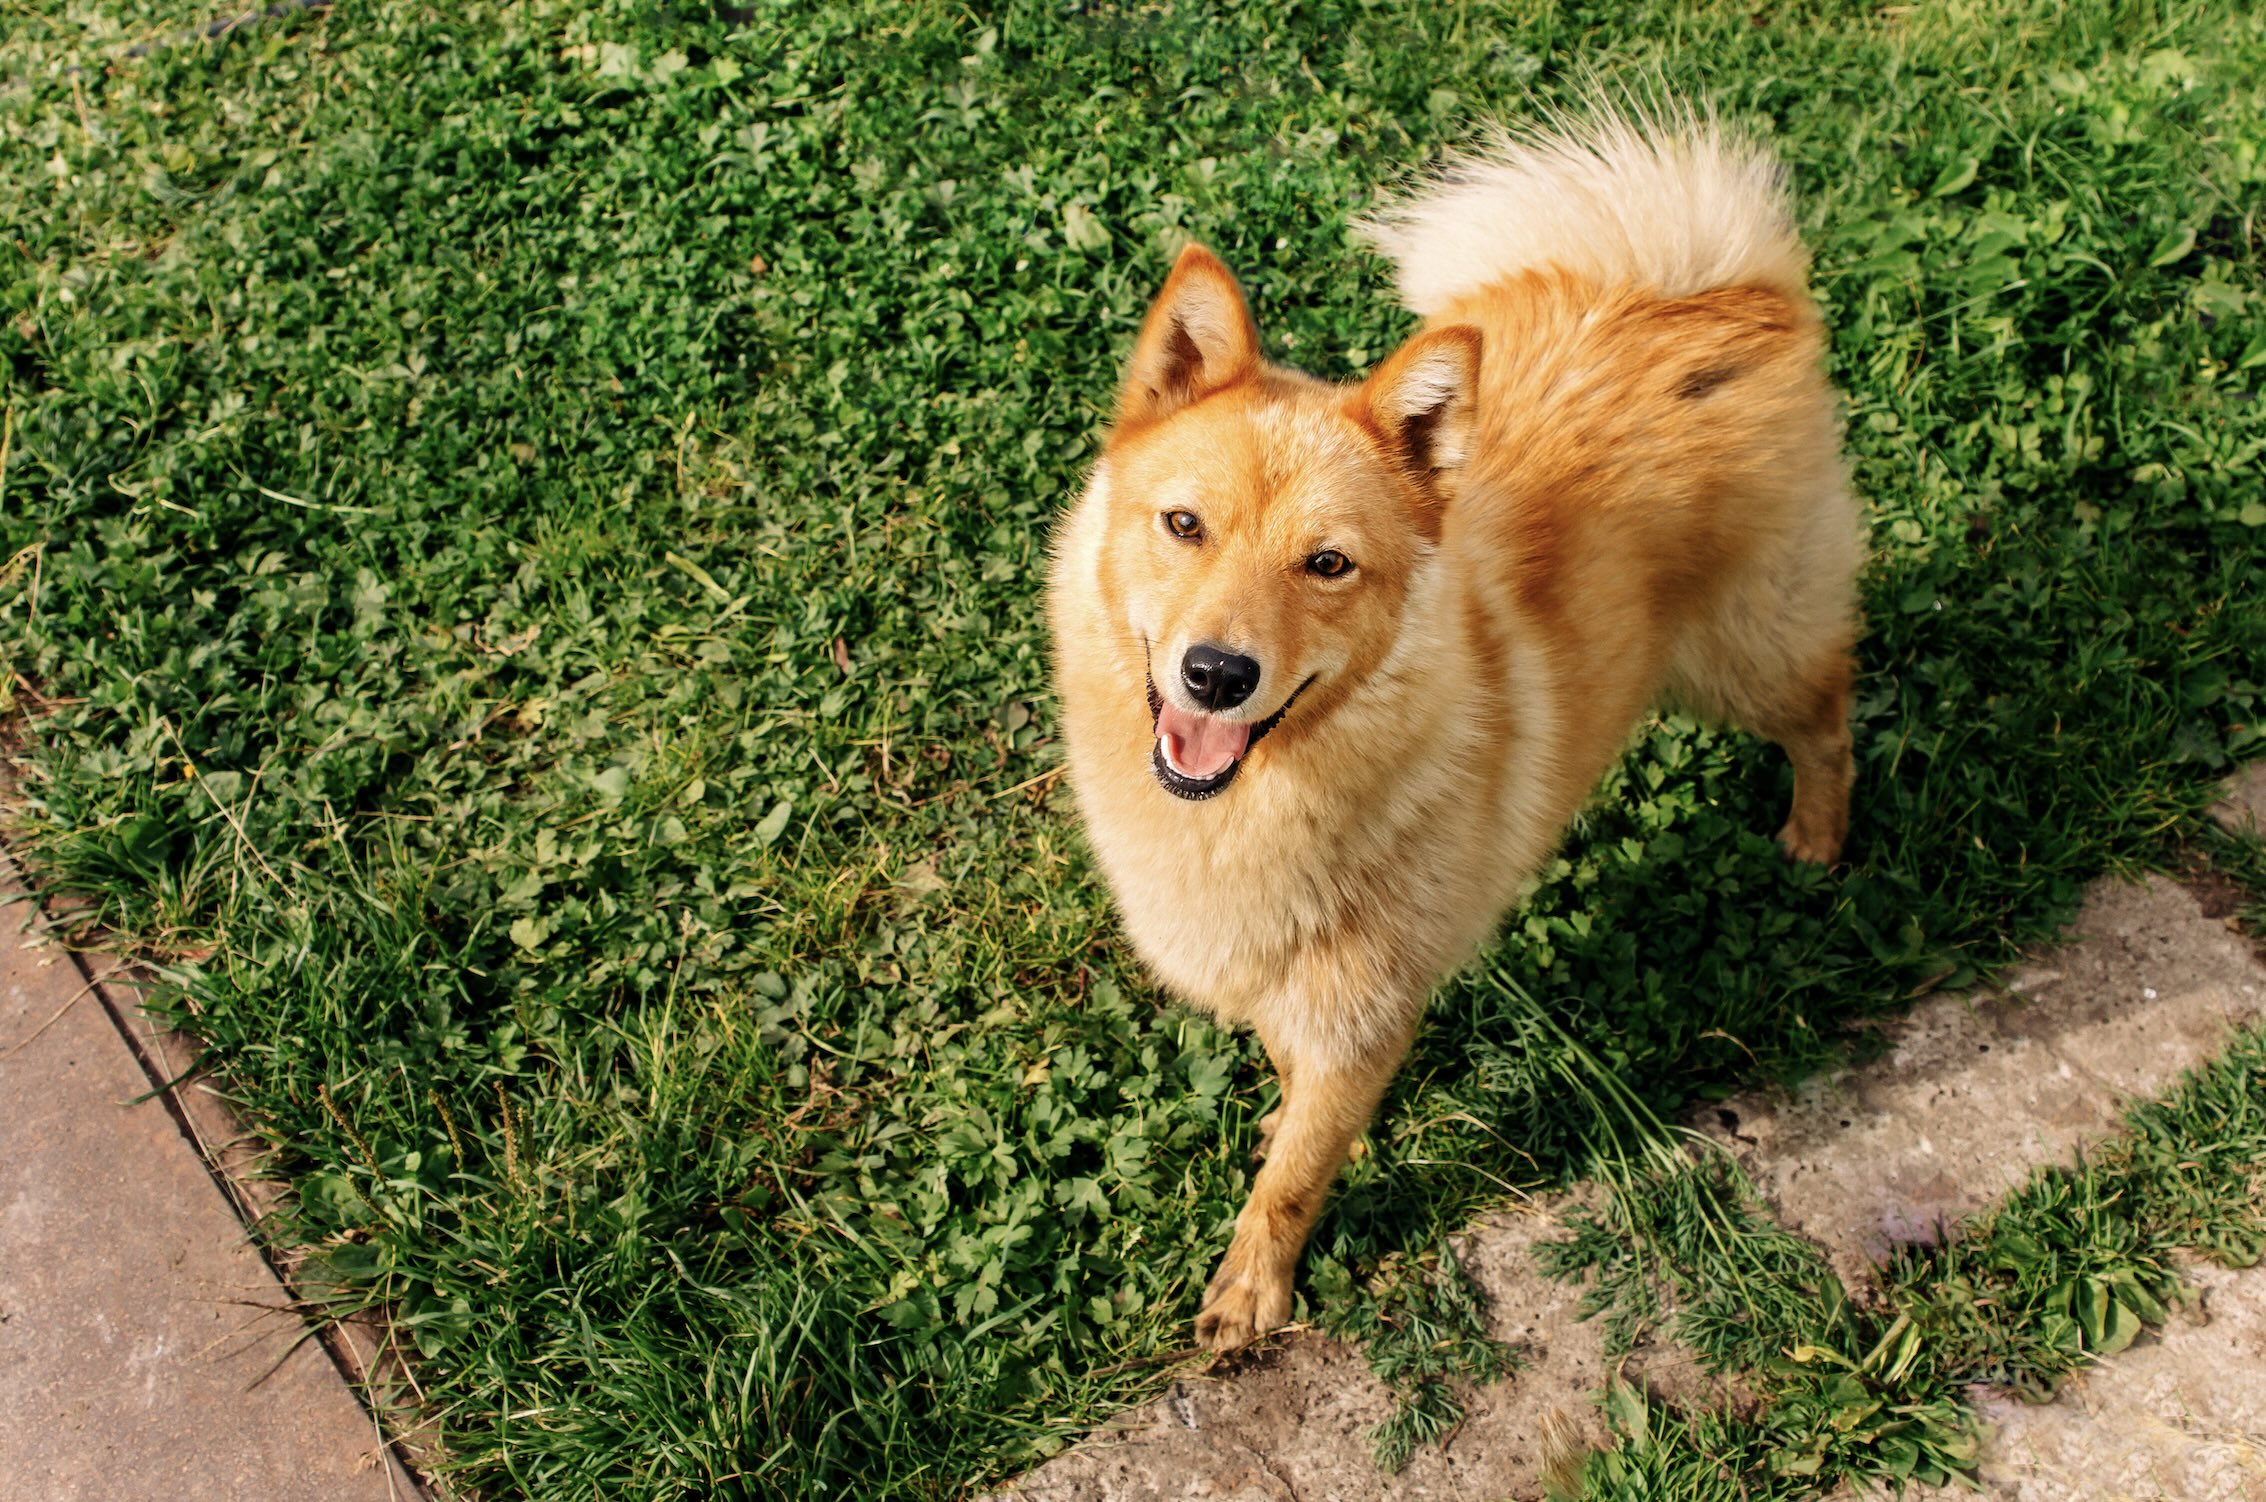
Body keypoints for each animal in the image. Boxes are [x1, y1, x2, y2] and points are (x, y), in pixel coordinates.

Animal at [1042, 103, 1858, 1350]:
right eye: (1183, 524)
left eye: (1327, 564)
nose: (1216, 673)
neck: (1262, 802)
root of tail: (1705, 292)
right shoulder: (1307, 993)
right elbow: (1294, 1098)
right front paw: (1283, 1125)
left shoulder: (1363, 1008)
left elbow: (1290, 1187)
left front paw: (1255, 1288)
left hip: (1746, 654)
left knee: (1829, 713)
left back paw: (1818, 833)